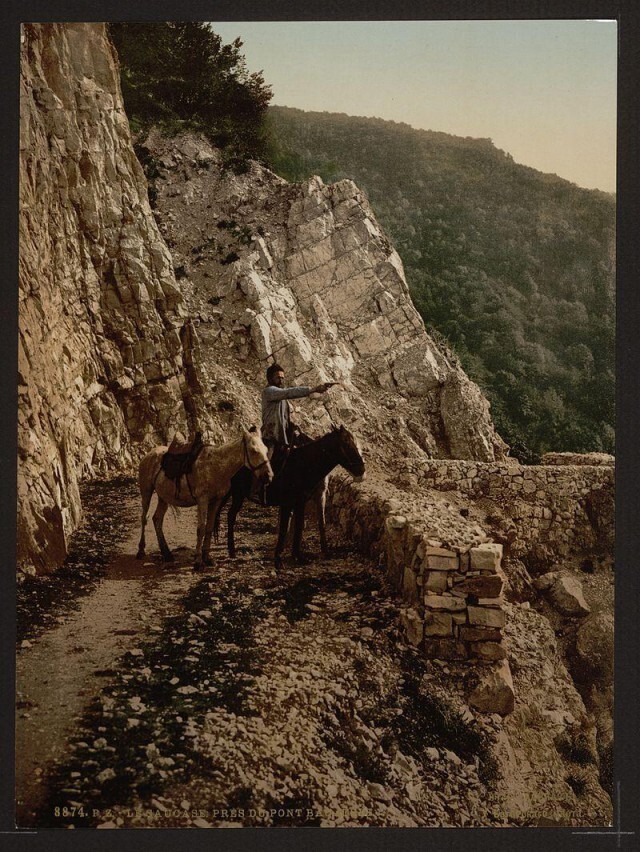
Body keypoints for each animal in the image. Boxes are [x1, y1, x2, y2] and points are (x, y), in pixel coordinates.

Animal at [136, 426, 272, 572]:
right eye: (254, 450)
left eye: (266, 450)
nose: (268, 476)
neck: (216, 466)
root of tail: (148, 455)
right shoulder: (202, 500)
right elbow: (200, 529)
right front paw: (198, 562)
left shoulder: (215, 501)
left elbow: (209, 527)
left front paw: (207, 558)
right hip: (146, 492)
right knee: (144, 518)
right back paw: (141, 550)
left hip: (163, 497)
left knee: (157, 519)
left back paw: (166, 554)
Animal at [214, 424, 364, 568]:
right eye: (347, 444)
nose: (362, 470)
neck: (302, 465)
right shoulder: (287, 503)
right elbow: (284, 528)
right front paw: (278, 559)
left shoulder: (301, 502)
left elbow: (298, 526)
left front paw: (298, 556)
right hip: (237, 494)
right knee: (231, 515)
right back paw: (231, 549)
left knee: (230, 515)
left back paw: (232, 551)